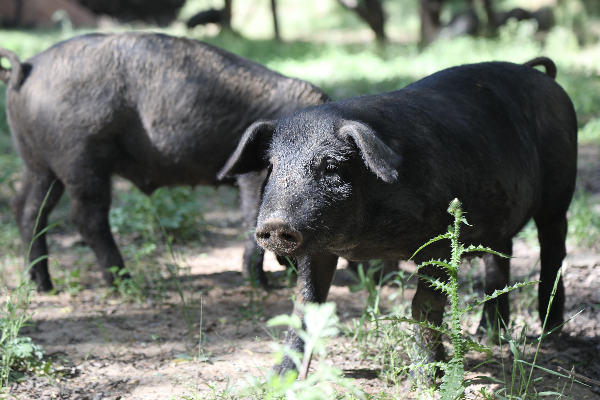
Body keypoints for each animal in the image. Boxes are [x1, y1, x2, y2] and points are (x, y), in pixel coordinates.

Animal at [0, 32, 328, 292]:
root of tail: (25, 69)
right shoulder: (253, 176)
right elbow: (254, 217)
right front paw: (263, 285)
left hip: (39, 164)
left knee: (26, 208)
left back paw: (43, 286)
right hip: (80, 157)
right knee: (86, 217)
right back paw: (123, 282)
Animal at [219, 57, 576, 374]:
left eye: (331, 166)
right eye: (273, 166)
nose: (276, 224)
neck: (365, 242)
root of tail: (544, 77)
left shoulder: (439, 240)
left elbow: (424, 304)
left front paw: (429, 376)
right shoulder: (316, 248)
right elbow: (305, 306)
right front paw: (280, 379)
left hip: (559, 193)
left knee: (553, 250)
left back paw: (550, 332)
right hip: (500, 221)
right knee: (500, 259)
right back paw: (488, 336)